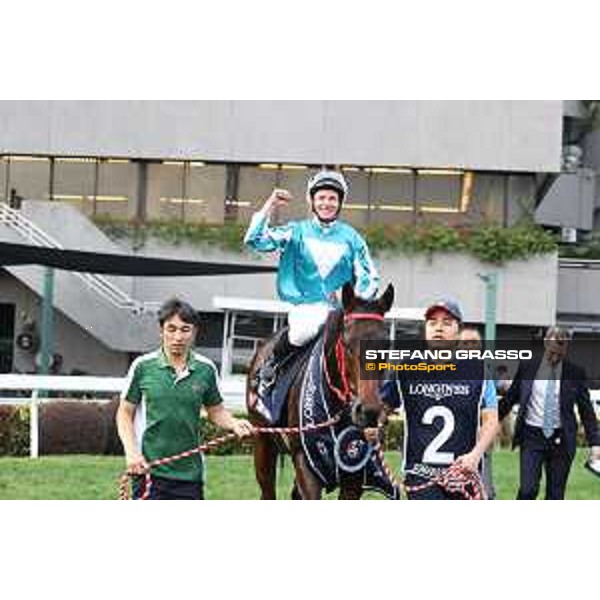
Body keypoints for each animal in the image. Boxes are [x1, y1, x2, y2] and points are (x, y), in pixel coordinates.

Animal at [245, 284, 394, 500]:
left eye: (386, 347)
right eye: (347, 344)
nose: (369, 411)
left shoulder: (354, 473)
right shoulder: (306, 464)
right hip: (263, 443)